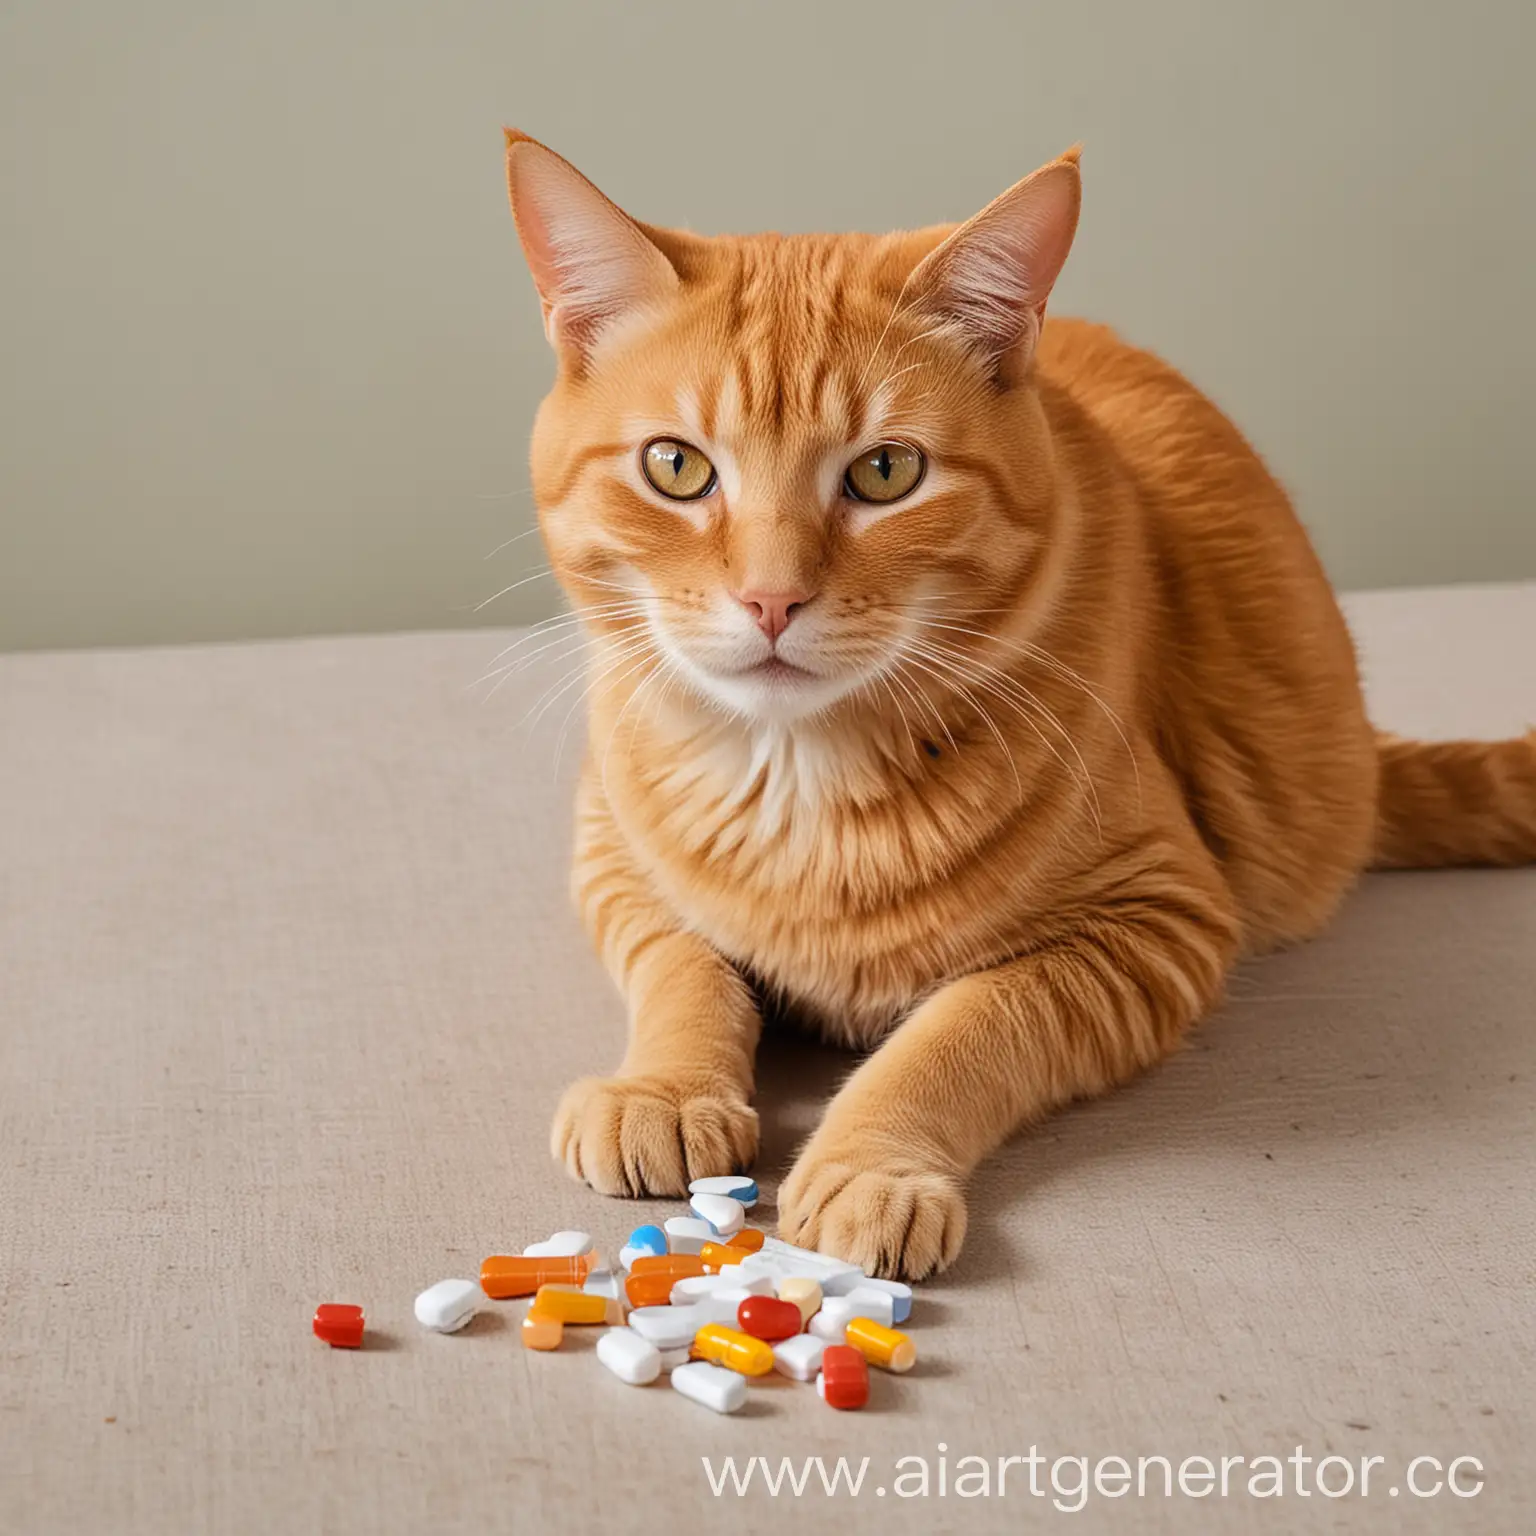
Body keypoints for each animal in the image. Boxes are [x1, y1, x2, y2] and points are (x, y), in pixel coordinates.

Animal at [503, 132, 1536, 1284]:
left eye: (885, 471)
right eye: (677, 467)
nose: (772, 598)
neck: (799, 780)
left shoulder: (1154, 924)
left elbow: (961, 1030)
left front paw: (872, 1163)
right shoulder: (613, 856)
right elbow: (685, 969)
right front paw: (666, 1088)